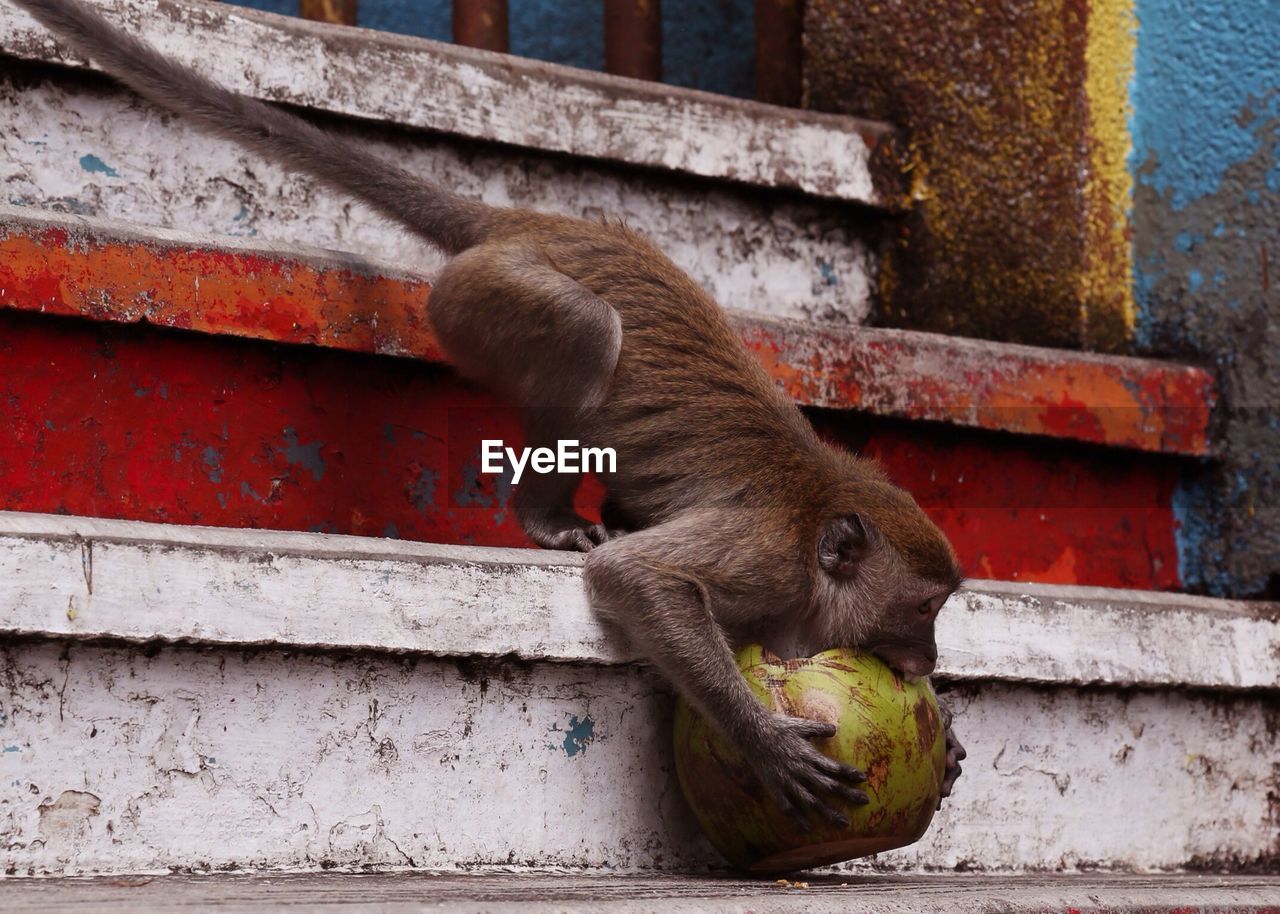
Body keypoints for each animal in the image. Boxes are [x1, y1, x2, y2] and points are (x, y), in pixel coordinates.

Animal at [10, 0, 962, 824]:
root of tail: (516, 222)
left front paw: (948, 752)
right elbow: (641, 580)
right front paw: (763, 743)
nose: (931, 660)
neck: (818, 523)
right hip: (482, 297)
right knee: (587, 330)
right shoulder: (763, 559)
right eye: (923, 609)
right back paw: (547, 514)